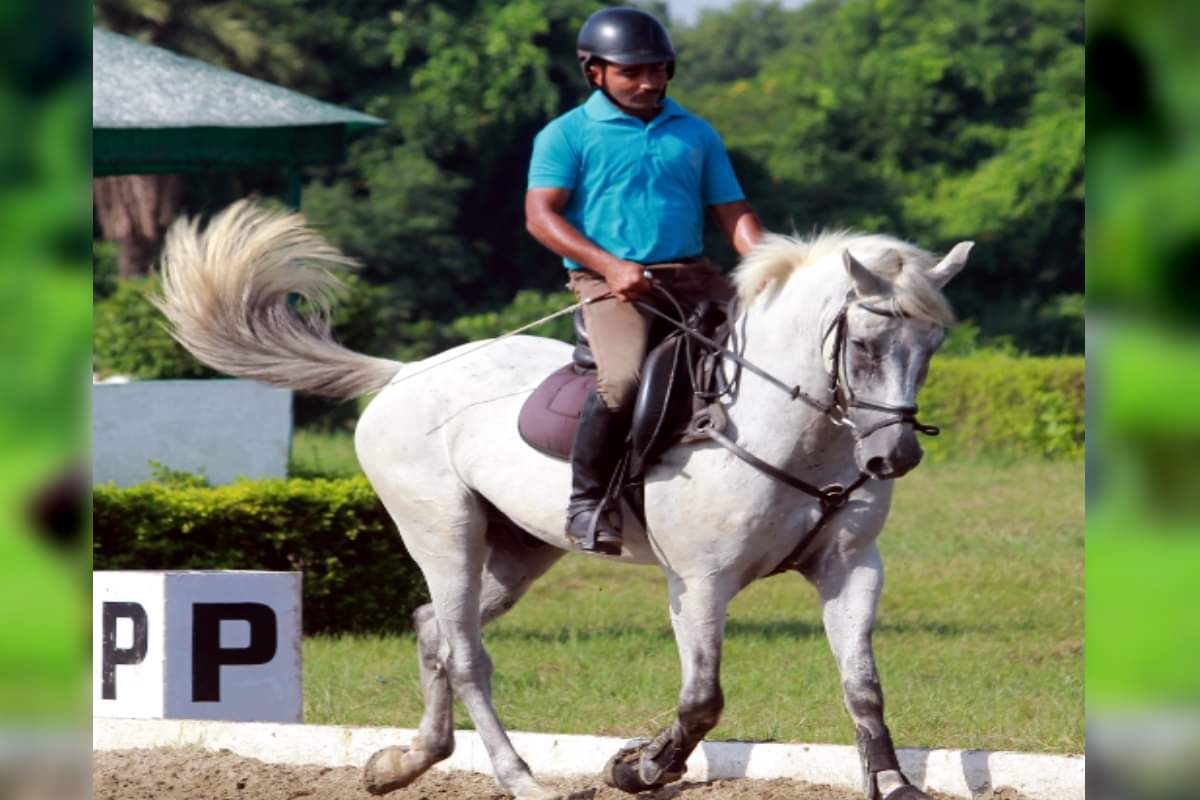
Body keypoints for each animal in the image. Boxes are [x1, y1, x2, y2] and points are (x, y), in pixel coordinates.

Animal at [154, 200, 972, 800]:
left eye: (932, 346)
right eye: (863, 345)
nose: (893, 458)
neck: (792, 430)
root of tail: (405, 373)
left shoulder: (851, 569)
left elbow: (863, 686)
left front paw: (895, 783)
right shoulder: (700, 583)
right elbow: (702, 699)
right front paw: (638, 767)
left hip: (519, 549)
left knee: (432, 630)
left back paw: (404, 763)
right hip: (443, 533)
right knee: (465, 655)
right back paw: (520, 780)